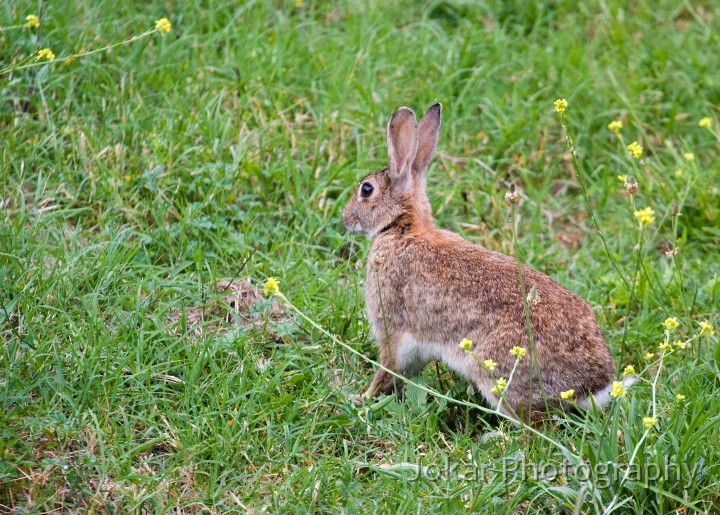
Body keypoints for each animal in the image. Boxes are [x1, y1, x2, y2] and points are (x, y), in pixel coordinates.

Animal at [340, 103, 628, 422]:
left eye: (366, 189)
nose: (345, 217)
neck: (401, 227)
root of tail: (593, 388)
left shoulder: (392, 329)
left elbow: (386, 369)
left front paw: (361, 399)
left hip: (498, 373)